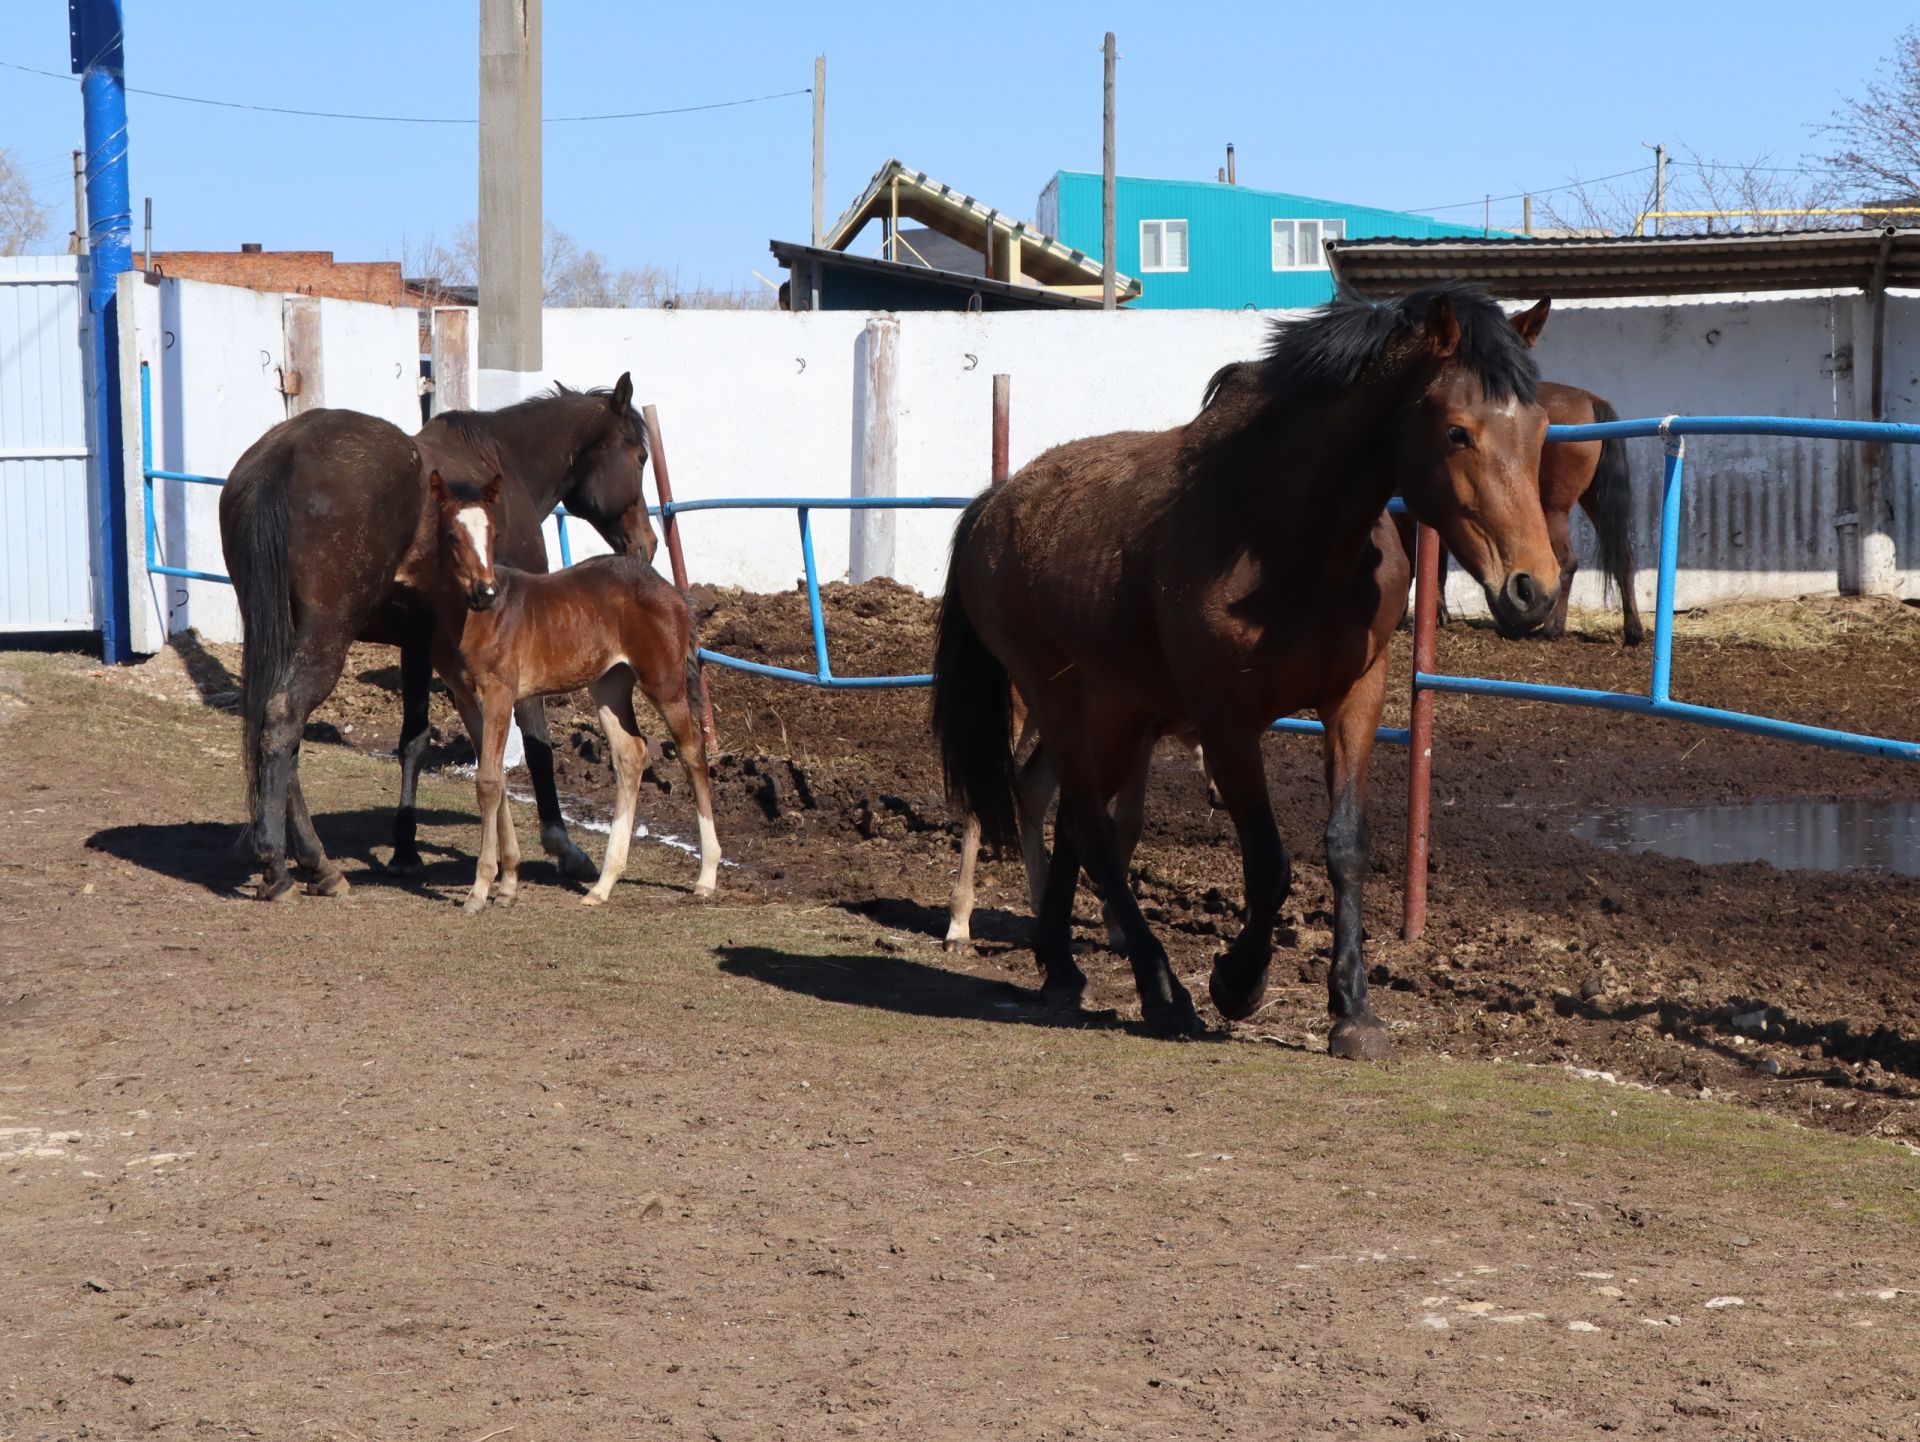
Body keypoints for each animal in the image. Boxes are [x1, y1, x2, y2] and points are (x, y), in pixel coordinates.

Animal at [219, 378, 648, 898]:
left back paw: (305, 862)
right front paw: (562, 846)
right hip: (326, 636)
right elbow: (537, 741)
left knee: (277, 727)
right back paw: (290, 866)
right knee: (284, 719)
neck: (505, 462)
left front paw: (405, 849)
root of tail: (285, 453)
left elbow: (414, 741)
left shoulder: (418, 644)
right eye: (641, 455)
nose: (647, 544)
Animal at [428, 470, 721, 913]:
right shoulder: (466, 699)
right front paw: (506, 885)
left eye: (494, 533)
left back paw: (706, 876)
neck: (475, 619)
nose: (485, 592)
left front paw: (480, 891)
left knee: (692, 753)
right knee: (631, 753)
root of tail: (672, 592)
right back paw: (603, 884)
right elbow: (492, 779)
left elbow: (490, 783)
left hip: (664, 684)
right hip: (610, 685)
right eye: (451, 535)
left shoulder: (499, 694)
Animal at [933, 284, 1559, 1052]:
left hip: (1117, 717)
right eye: (1457, 432)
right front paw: (1237, 981)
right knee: (1092, 831)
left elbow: (1345, 847)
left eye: (1541, 429)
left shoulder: (1356, 694)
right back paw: (1161, 991)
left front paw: (1353, 1011)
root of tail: (993, 505)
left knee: (1069, 818)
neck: (1286, 538)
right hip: (1063, 706)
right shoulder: (1225, 718)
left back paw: (1063, 968)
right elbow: (1267, 862)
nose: (1534, 590)